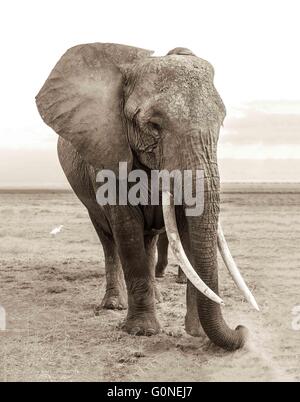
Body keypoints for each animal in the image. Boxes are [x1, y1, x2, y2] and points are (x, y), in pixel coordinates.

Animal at [37, 41, 258, 348]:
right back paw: (114, 304)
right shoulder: (107, 151)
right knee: (109, 241)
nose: (241, 328)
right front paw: (142, 331)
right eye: (153, 125)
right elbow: (126, 229)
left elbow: (185, 228)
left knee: (150, 240)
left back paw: (158, 297)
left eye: (221, 123)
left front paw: (196, 332)